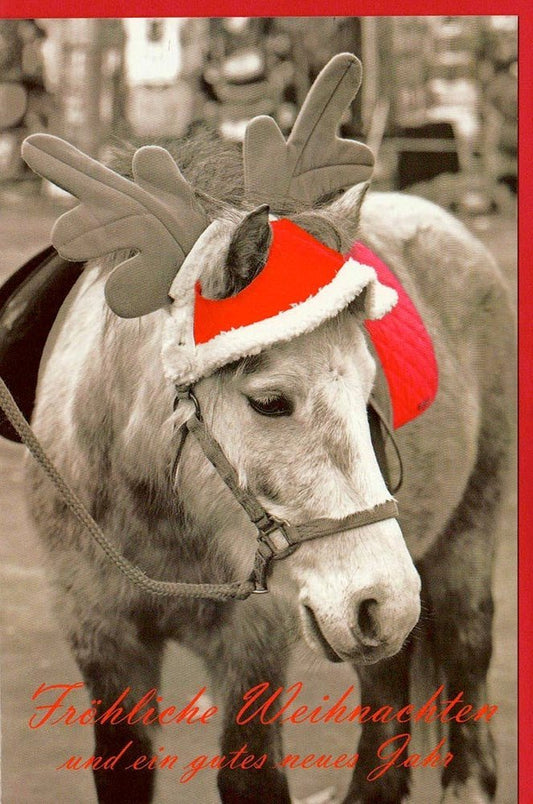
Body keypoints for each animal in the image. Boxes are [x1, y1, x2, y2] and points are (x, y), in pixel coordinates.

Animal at [20, 59, 513, 804]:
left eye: (368, 391)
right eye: (271, 402)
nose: (386, 601)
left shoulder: (253, 644)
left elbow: (249, 774)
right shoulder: (100, 635)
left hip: (468, 531)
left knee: (465, 654)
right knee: (385, 688)